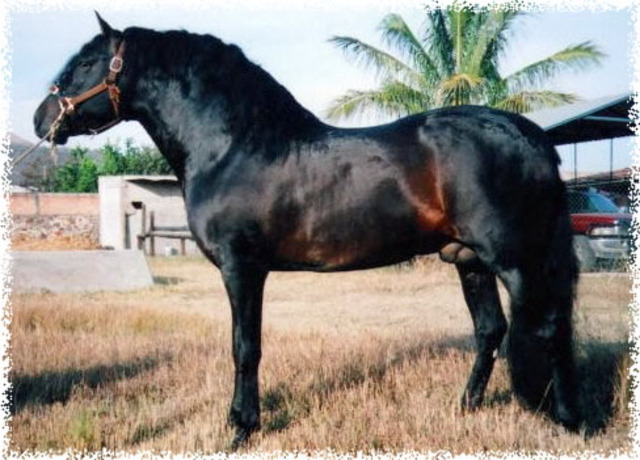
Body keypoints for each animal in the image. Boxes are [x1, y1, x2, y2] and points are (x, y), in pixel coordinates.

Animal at [33, 13, 581, 447]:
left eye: (84, 64)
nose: (42, 120)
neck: (234, 145)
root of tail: (531, 135)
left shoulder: (242, 268)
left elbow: (245, 347)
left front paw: (241, 427)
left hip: (516, 262)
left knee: (548, 328)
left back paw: (568, 420)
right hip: (468, 259)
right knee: (491, 330)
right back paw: (464, 408)